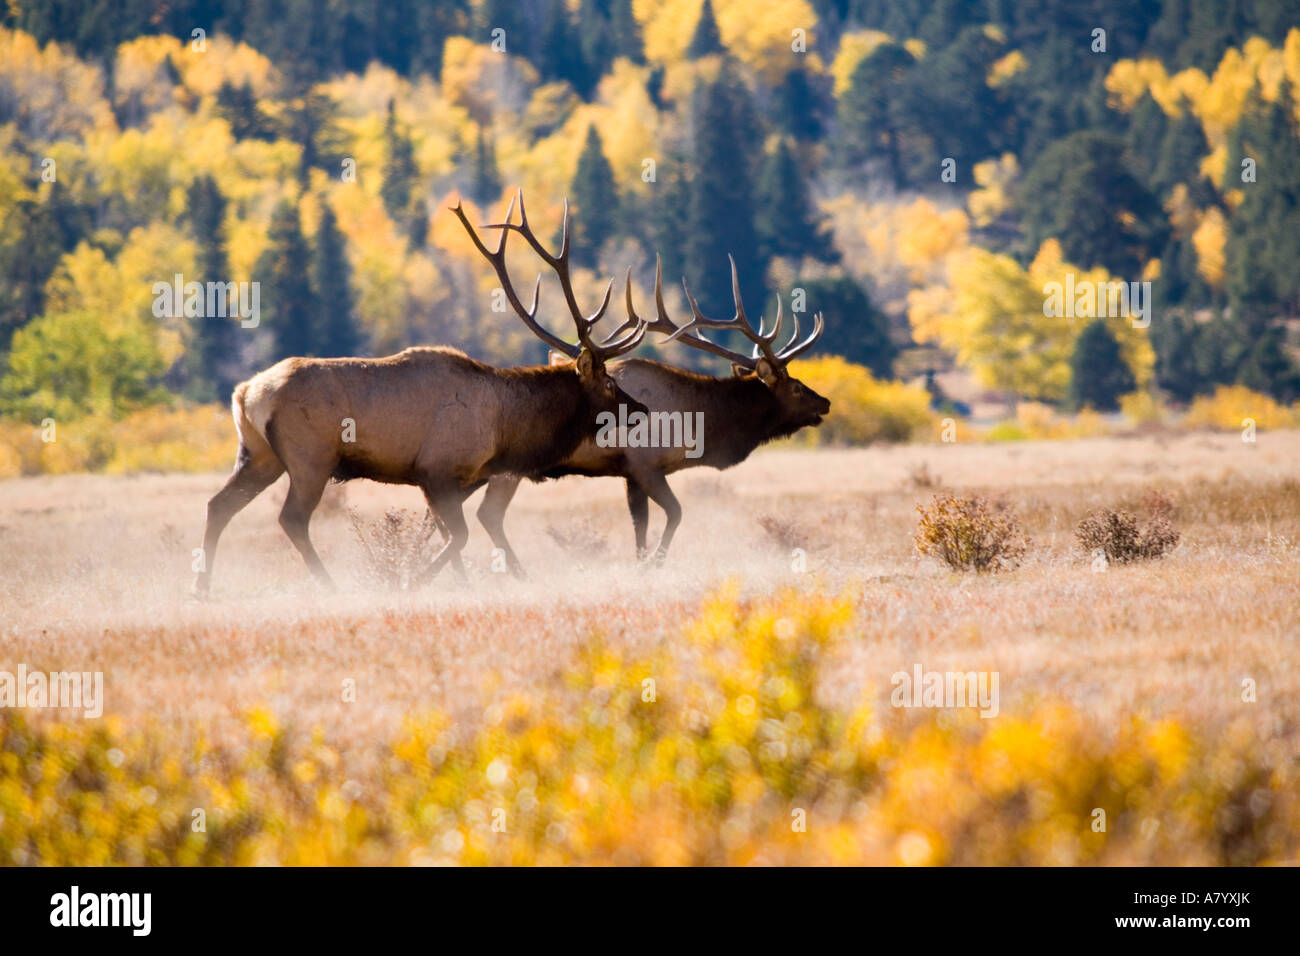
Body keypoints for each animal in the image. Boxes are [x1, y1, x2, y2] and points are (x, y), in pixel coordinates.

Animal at [192, 192, 649, 596]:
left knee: (218, 505)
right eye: (610, 383)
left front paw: (453, 582)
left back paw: (203, 587)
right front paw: (414, 580)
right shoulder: (439, 470)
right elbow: (457, 536)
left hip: (259, 455)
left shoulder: (448, 480)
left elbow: (446, 535)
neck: (505, 428)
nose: (642, 408)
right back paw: (329, 585)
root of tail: (245, 392)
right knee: (291, 518)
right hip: (310, 456)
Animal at [473, 244, 831, 577]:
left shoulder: (629, 473)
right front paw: (653, 564)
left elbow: (640, 525)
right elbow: (675, 513)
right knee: (488, 514)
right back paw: (518, 571)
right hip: (505, 467)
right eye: (796, 387)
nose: (825, 402)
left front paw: (640, 565)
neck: (697, 426)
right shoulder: (644, 464)